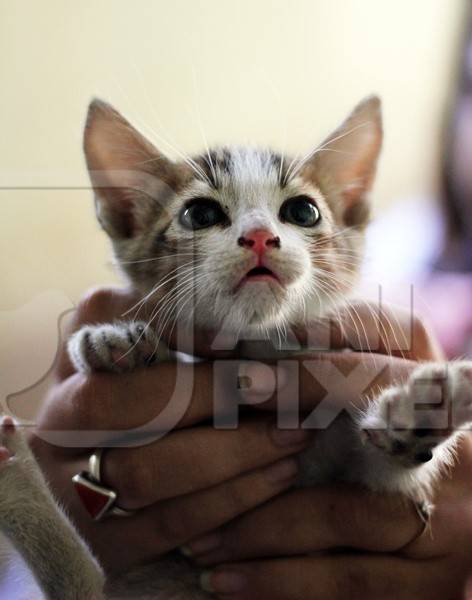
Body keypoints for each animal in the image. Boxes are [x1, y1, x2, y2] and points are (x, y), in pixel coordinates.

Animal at [0, 96, 470, 596]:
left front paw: (425, 410)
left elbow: (387, 470)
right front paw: (112, 340)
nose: (260, 236)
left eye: (303, 212)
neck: (255, 346)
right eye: (200, 215)